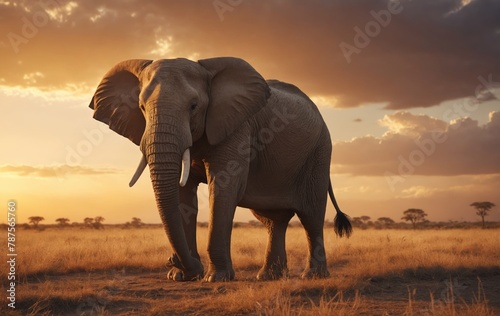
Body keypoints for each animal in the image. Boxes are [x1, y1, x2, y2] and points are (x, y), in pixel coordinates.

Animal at [88, 56, 350, 282]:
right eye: (142, 107)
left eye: (194, 106)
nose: (174, 260)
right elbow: (183, 192)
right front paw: (180, 277)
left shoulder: (237, 127)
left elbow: (223, 186)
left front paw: (215, 278)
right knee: (273, 220)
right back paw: (268, 277)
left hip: (319, 153)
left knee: (311, 215)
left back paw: (313, 276)